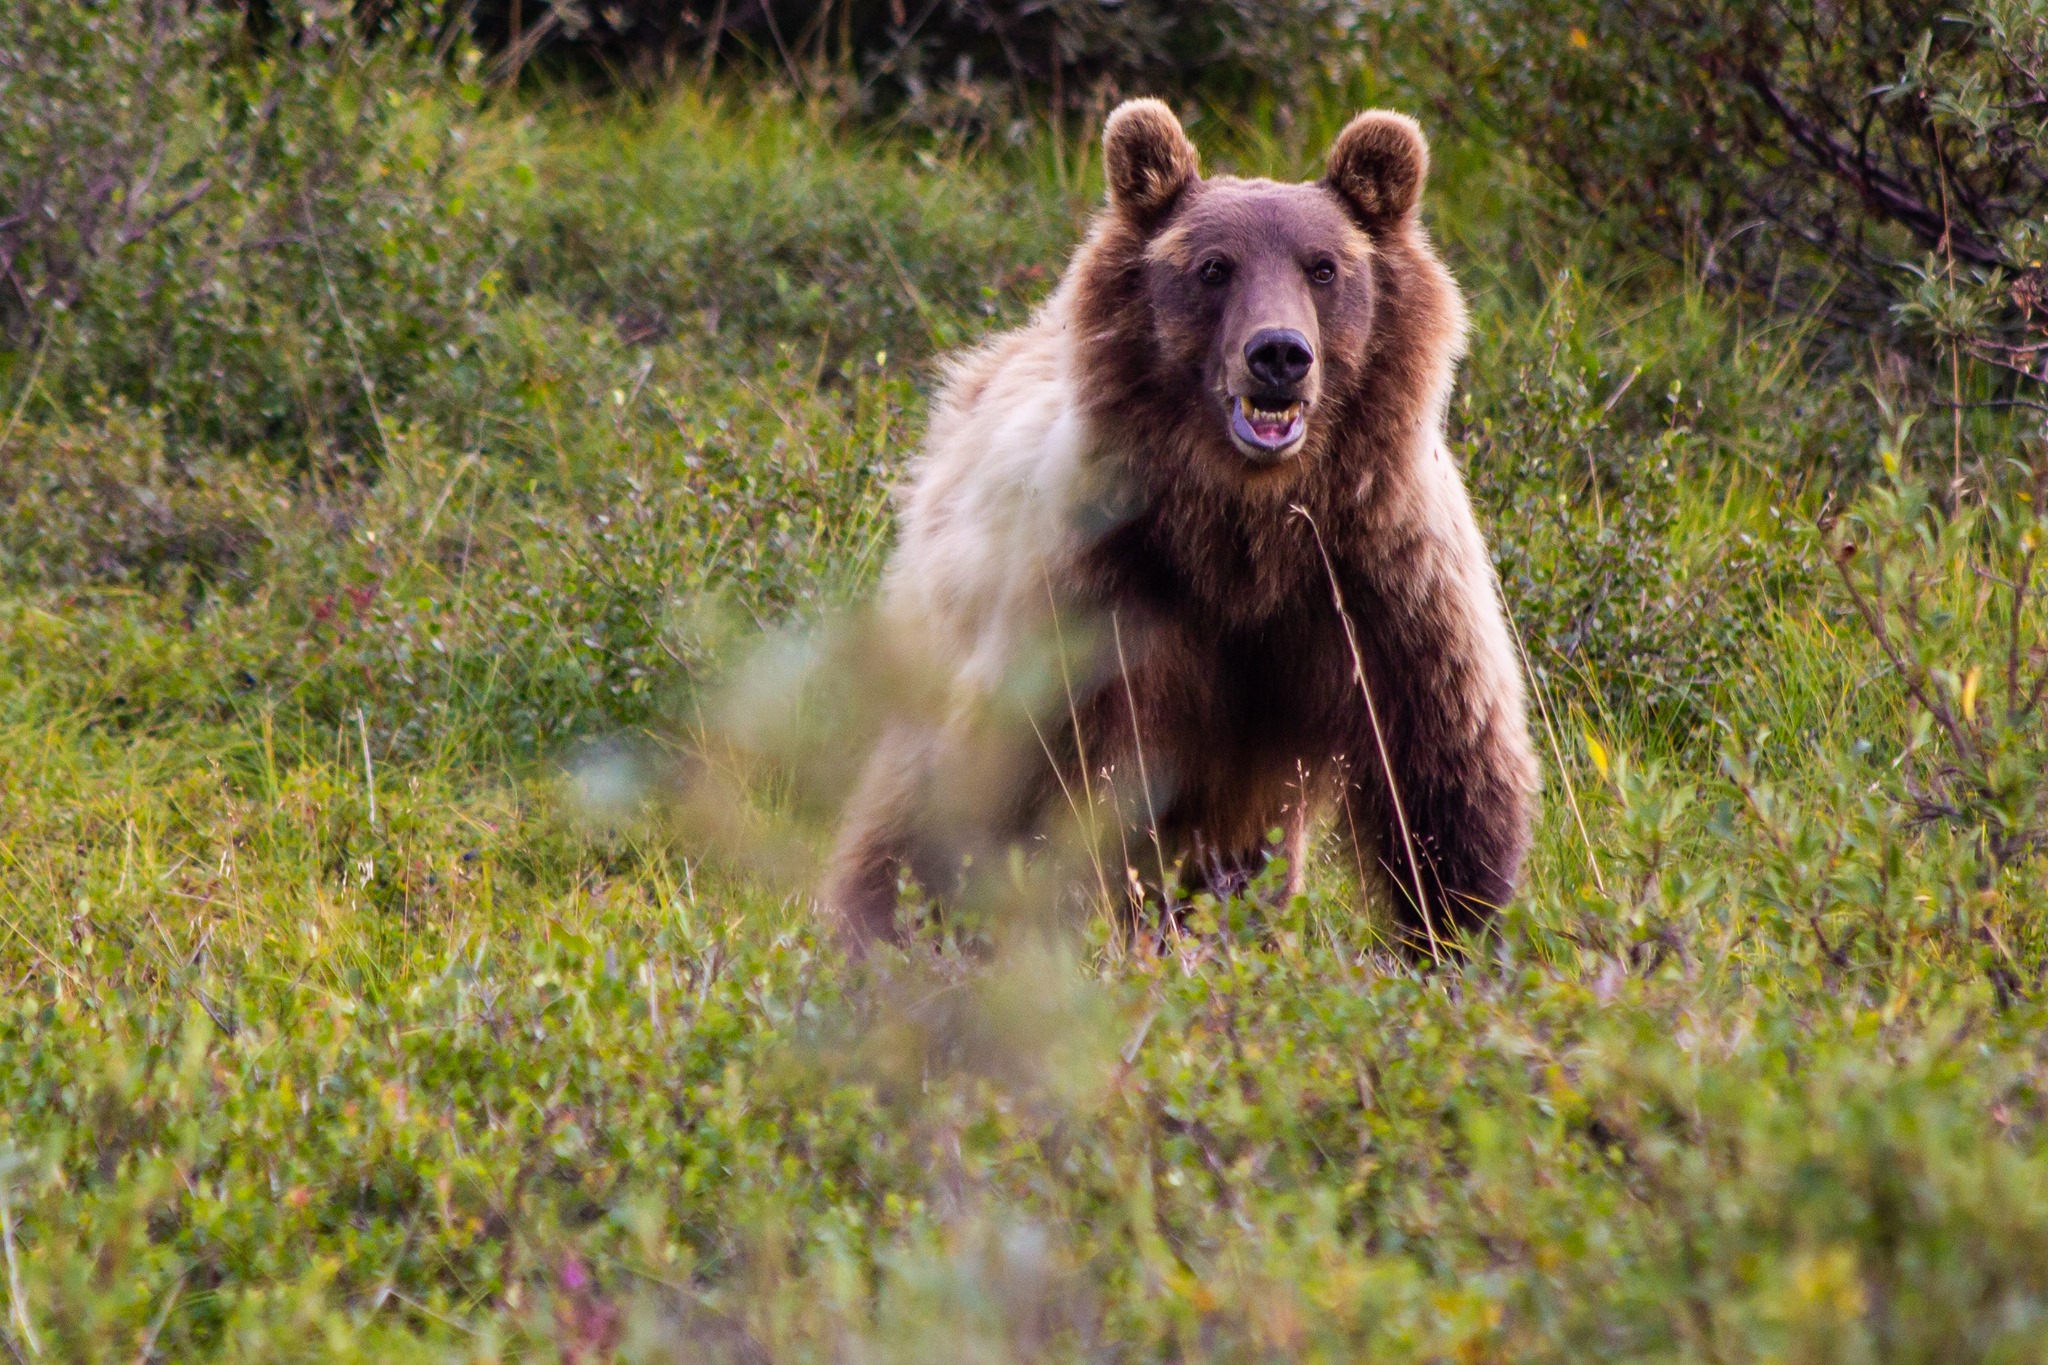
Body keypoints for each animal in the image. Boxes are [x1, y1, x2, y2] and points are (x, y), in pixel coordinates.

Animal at [823, 98, 1531, 961]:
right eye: (1214, 266)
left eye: (1324, 266)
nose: (1278, 354)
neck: (1245, 532)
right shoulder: (1104, 594)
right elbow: (1037, 786)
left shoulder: (1380, 584)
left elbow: (1446, 769)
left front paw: (1455, 934)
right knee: (909, 800)